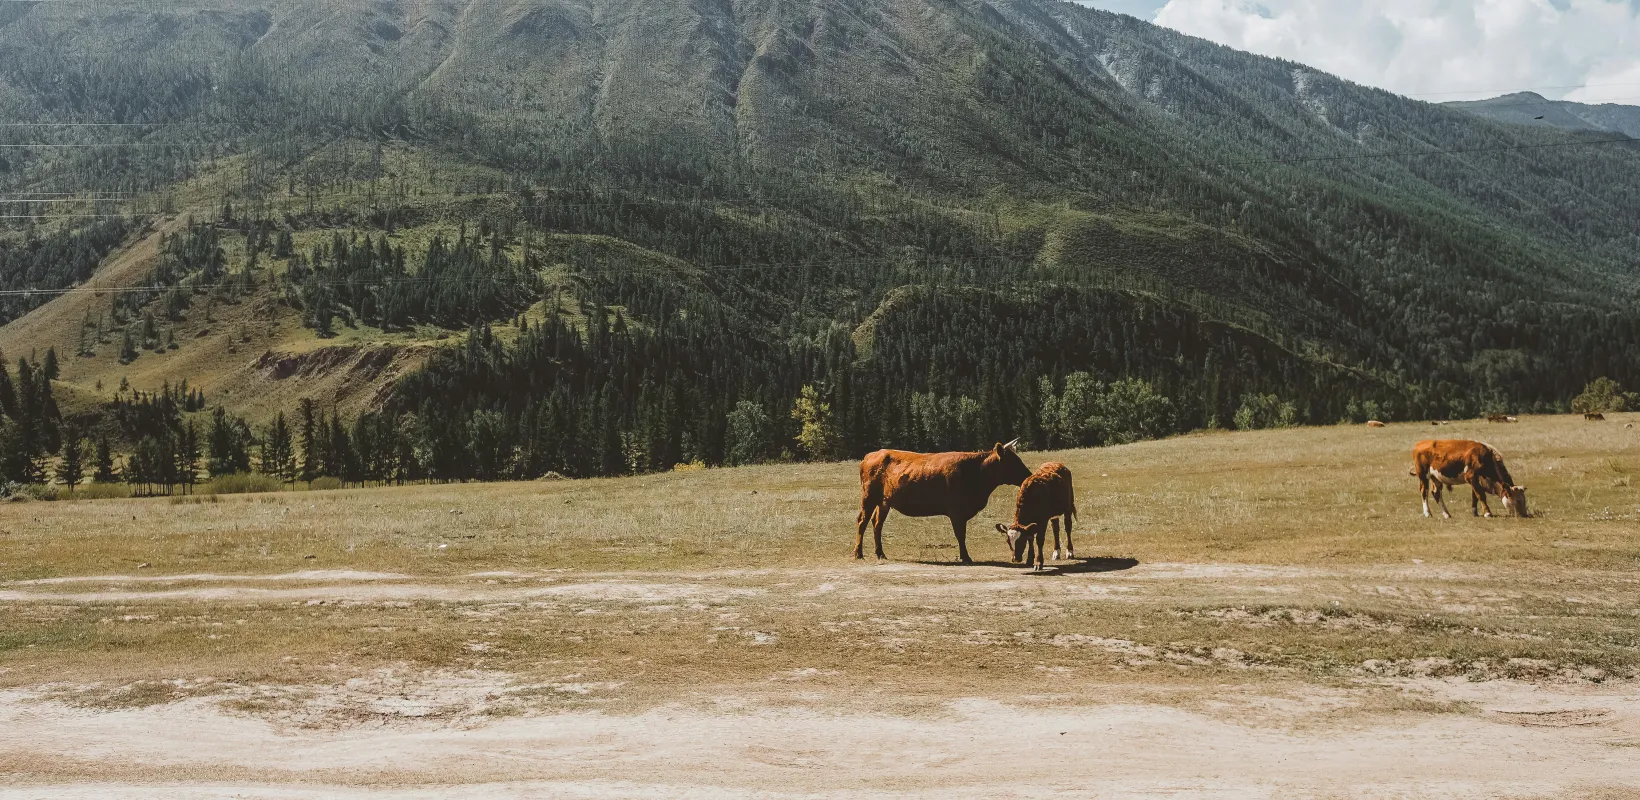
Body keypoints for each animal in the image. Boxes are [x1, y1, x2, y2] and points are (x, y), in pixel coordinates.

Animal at [856, 440, 1033, 563]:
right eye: (1013, 462)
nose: (1028, 475)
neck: (976, 472)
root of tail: (871, 455)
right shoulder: (956, 511)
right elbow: (960, 535)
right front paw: (965, 557)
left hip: (884, 502)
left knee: (877, 523)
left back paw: (880, 553)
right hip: (869, 497)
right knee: (862, 522)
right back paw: (858, 553)